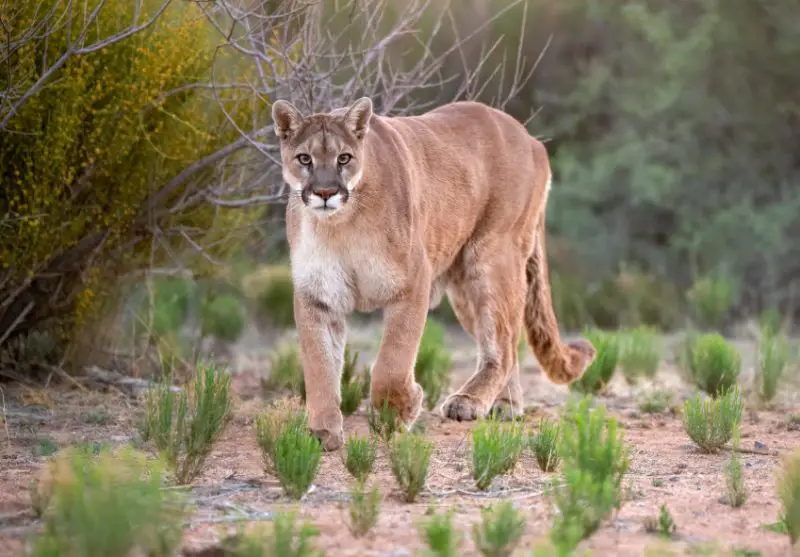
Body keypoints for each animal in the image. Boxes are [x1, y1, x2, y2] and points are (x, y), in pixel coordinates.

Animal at [271, 97, 597, 451]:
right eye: (305, 158)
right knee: (506, 339)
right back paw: (505, 406)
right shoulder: (317, 295)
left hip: (492, 257)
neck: (340, 225)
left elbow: (393, 360)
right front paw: (322, 432)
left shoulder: (413, 282)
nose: (326, 192)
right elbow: (319, 365)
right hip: (466, 291)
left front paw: (400, 411)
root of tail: (531, 139)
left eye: (344, 158)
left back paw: (468, 401)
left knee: (504, 344)